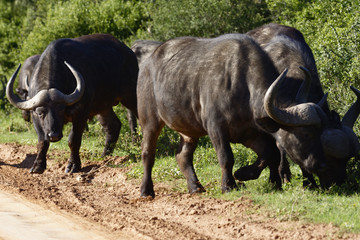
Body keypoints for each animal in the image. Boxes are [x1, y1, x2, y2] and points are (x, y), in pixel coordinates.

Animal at [7, 33, 139, 172]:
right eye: (40, 113)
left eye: (61, 110)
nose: (54, 135)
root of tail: (128, 52)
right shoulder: (35, 118)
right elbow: (42, 141)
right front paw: (38, 166)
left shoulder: (81, 114)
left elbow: (73, 140)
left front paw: (73, 165)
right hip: (103, 106)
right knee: (113, 125)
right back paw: (104, 156)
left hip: (130, 96)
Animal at [136, 34, 334, 197]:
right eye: (306, 134)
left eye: (320, 133)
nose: (322, 165)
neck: (244, 85)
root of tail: (147, 64)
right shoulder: (216, 127)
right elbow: (226, 157)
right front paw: (228, 185)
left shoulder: (250, 133)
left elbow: (270, 153)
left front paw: (245, 174)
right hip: (149, 120)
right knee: (148, 153)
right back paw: (146, 190)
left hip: (188, 130)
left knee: (183, 156)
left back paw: (195, 187)